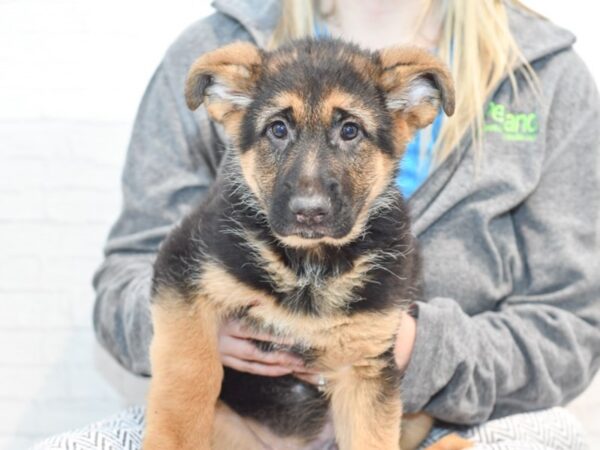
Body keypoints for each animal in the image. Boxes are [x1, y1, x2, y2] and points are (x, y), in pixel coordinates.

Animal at [143, 39, 466, 450]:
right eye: (278, 129)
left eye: (350, 130)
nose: (309, 212)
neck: (309, 266)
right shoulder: (183, 273)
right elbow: (189, 375)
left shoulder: (366, 362)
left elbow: (373, 437)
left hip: (416, 412)